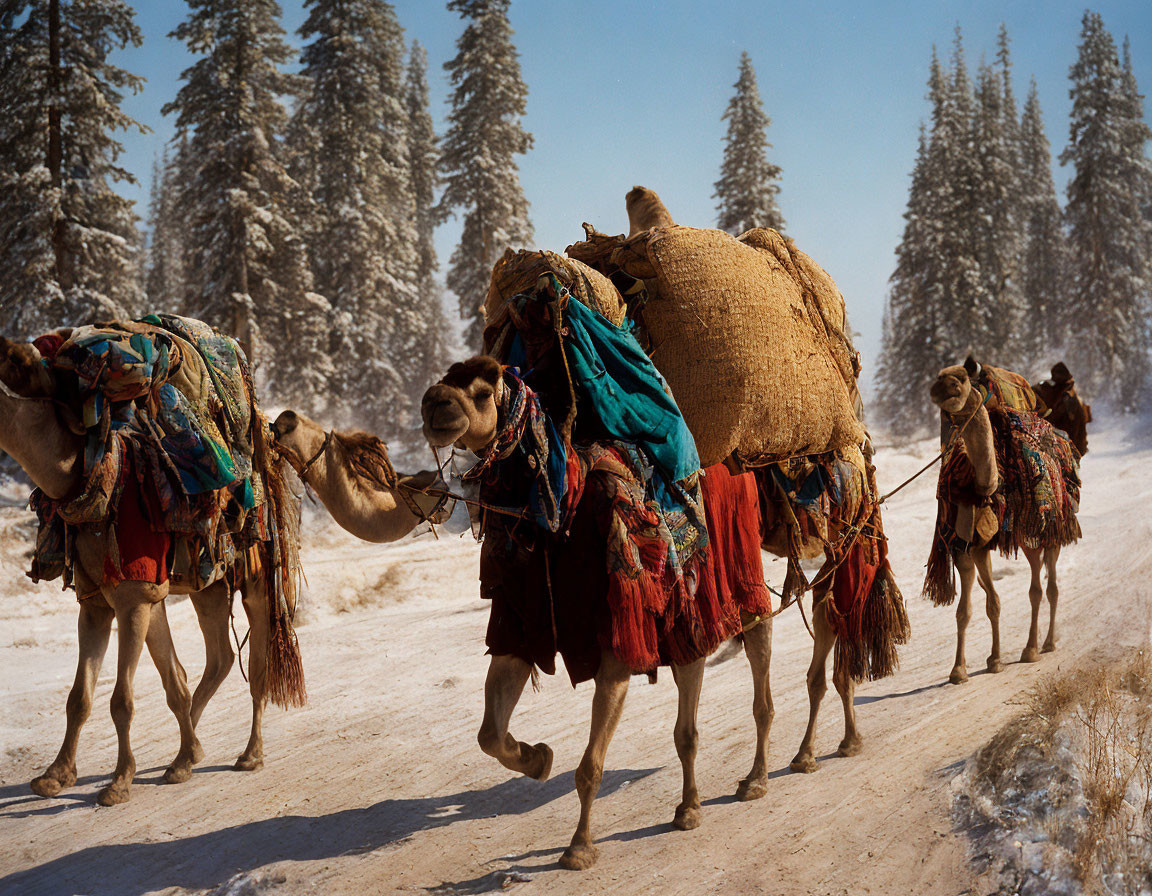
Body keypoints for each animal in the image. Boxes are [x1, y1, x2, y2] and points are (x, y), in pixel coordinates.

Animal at [1, 333, 297, 801]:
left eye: (18, 361)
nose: (9, 345)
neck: (88, 483)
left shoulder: (135, 597)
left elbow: (121, 699)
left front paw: (119, 782)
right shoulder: (100, 601)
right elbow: (82, 697)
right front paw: (55, 775)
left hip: (256, 580)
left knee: (259, 666)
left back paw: (250, 754)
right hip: (207, 587)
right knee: (219, 658)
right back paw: (183, 756)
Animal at [419, 354, 778, 866]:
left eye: (484, 390)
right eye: (447, 378)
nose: (435, 404)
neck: (563, 520)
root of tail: (739, 466)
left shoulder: (618, 643)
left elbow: (590, 766)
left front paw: (579, 847)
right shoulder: (520, 630)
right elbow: (489, 734)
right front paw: (536, 757)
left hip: (739, 577)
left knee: (757, 661)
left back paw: (755, 779)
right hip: (685, 618)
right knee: (689, 704)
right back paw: (690, 804)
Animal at [926, 363, 1078, 686]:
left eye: (961, 379)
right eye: (939, 376)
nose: (942, 388)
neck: (980, 487)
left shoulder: (983, 545)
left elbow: (994, 603)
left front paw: (995, 660)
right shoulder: (964, 546)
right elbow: (966, 609)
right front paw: (958, 670)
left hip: (1045, 532)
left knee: (1045, 587)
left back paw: (1040, 646)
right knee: (1037, 585)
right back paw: (1035, 645)